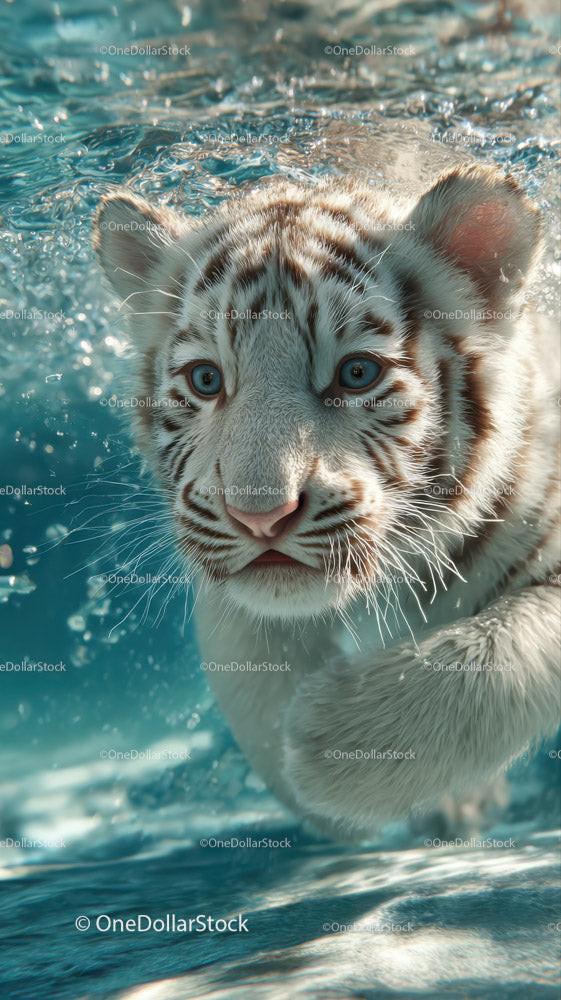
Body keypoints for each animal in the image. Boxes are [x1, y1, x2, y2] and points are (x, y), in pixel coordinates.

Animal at [93, 164, 560, 837]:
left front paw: (336, 750)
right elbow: (249, 676)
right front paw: (311, 784)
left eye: (357, 374)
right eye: (206, 380)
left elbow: (497, 653)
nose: (259, 516)